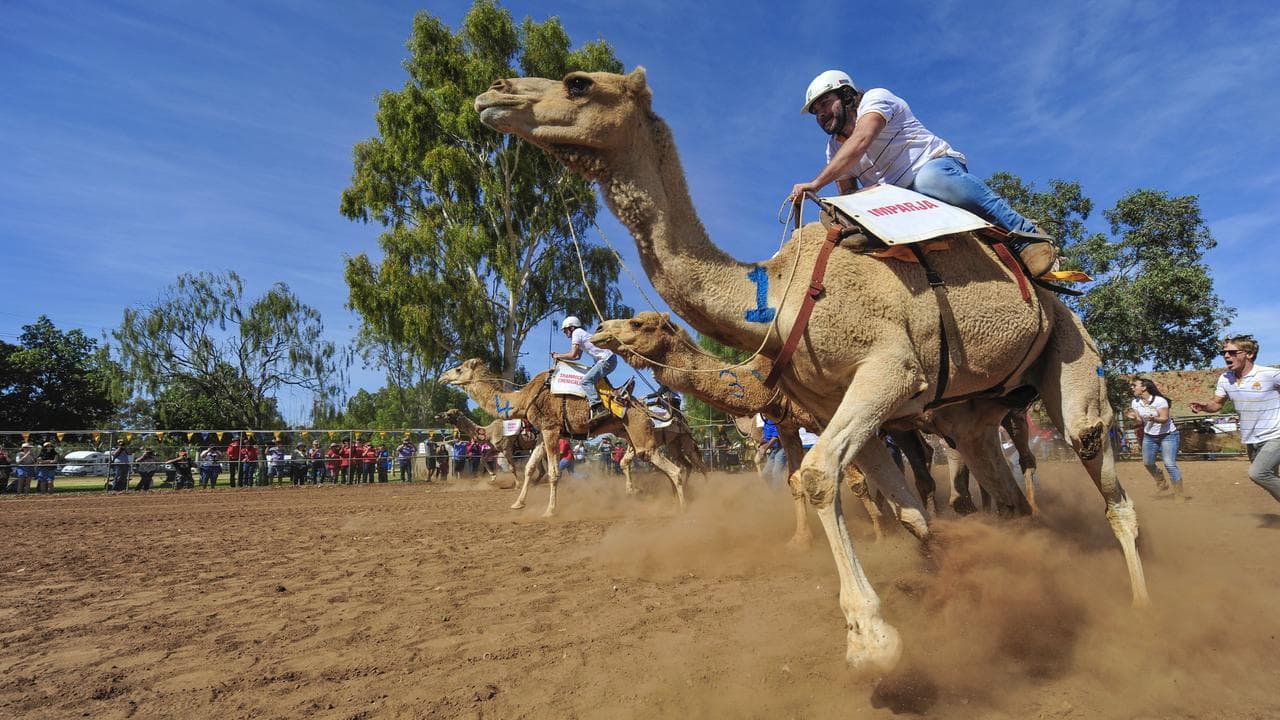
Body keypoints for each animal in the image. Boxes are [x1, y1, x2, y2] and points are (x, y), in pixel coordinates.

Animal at [439, 358, 705, 516]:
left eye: (459, 368)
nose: (442, 376)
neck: (526, 397)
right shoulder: (540, 434)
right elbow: (530, 468)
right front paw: (518, 503)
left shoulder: (550, 429)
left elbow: (553, 472)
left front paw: (549, 510)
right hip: (638, 436)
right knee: (676, 466)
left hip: (646, 436)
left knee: (680, 467)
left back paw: (684, 507)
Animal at [593, 311, 888, 544]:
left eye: (637, 323)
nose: (598, 330)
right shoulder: (786, 427)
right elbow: (794, 481)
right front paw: (801, 540)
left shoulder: (823, 419)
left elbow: (853, 479)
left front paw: (880, 535)